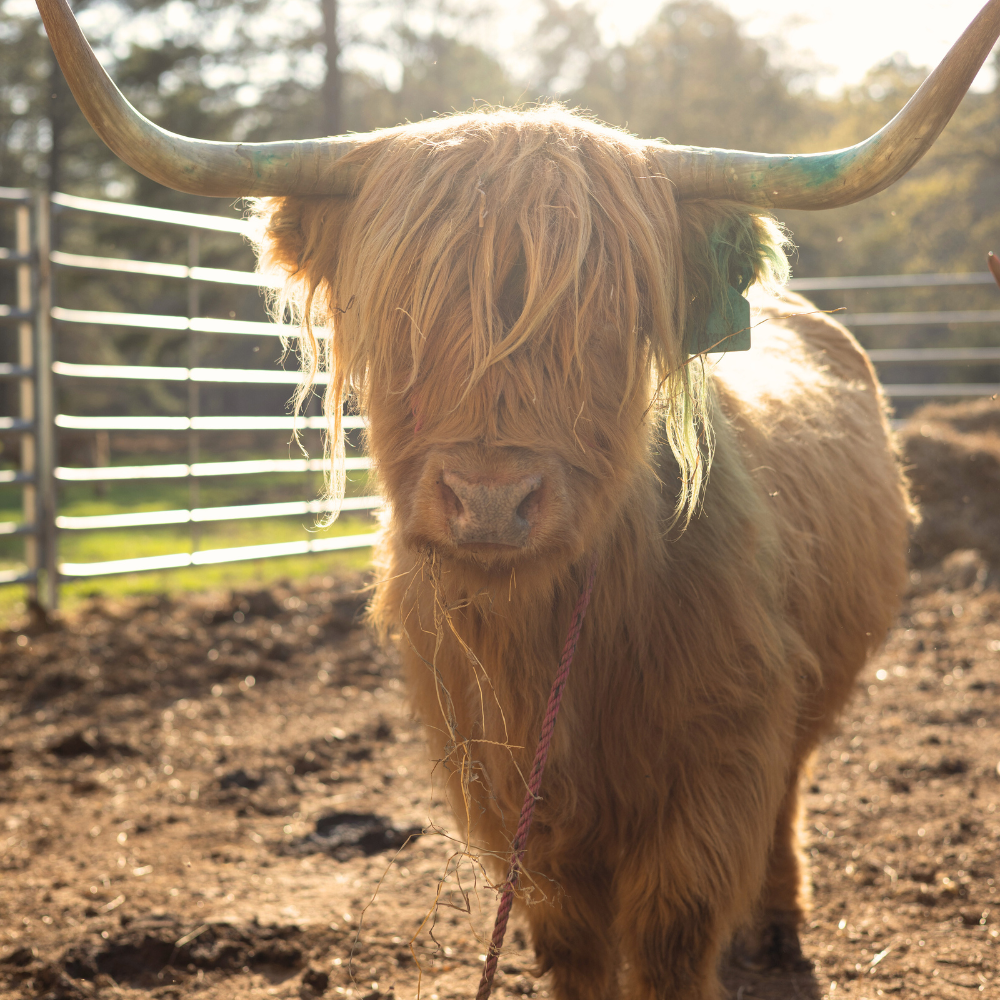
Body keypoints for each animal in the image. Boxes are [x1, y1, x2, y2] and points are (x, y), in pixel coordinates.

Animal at [34, 0, 1000, 995]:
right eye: (402, 319)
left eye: (608, 323)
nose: (491, 500)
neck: (556, 650)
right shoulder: (507, 796)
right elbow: (569, 940)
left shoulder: (718, 762)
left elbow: (672, 933)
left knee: (788, 799)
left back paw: (773, 930)